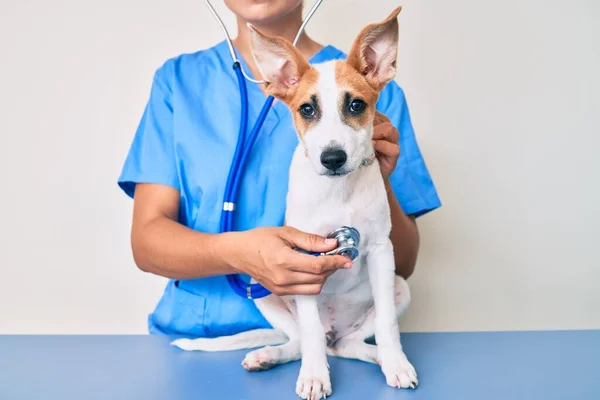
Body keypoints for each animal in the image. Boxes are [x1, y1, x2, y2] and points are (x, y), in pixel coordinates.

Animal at [173, 7, 418, 400]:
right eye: (306, 109)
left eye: (356, 105)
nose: (332, 158)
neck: (338, 190)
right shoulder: (302, 261)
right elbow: (311, 331)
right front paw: (315, 376)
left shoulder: (382, 251)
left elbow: (387, 324)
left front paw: (396, 363)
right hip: (262, 289)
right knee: (306, 339)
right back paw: (270, 355)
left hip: (399, 286)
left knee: (348, 343)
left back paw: (378, 356)